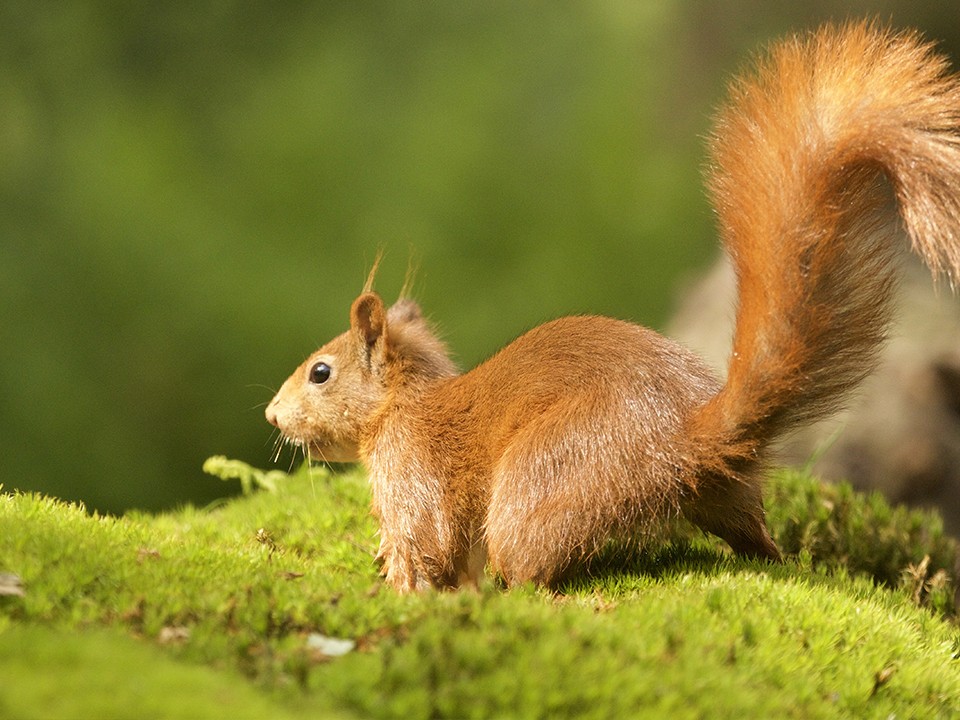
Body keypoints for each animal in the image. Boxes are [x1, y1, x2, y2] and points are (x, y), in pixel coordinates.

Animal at [266, 22, 960, 592]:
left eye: (320, 372)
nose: (272, 415)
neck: (403, 405)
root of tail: (681, 438)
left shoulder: (413, 472)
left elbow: (424, 543)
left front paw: (398, 580)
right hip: (726, 495)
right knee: (756, 539)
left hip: (544, 481)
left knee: (531, 566)